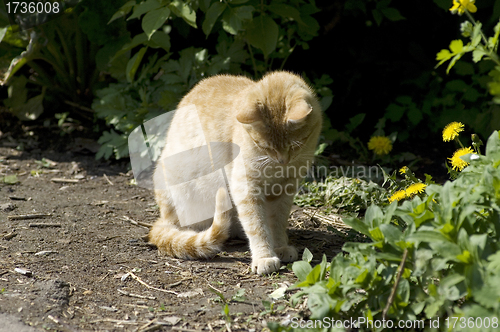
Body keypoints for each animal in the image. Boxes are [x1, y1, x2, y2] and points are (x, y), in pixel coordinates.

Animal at [146, 70, 322, 274]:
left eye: (295, 145)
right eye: (265, 146)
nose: (282, 160)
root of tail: (164, 217)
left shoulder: (285, 189)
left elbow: (277, 221)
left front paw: (279, 246)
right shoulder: (245, 187)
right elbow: (257, 225)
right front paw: (264, 256)